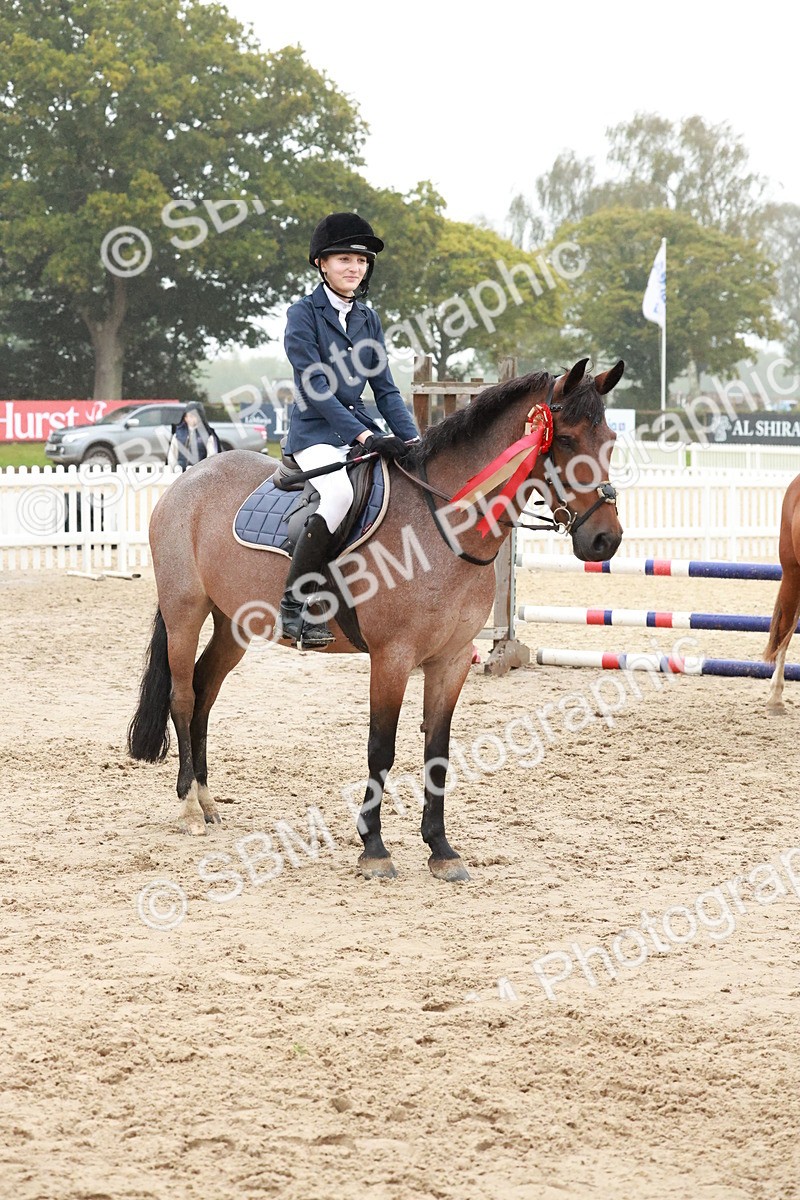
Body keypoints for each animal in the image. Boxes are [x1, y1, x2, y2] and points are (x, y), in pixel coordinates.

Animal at [127, 357, 625, 882]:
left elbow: (438, 750)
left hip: (234, 624)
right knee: (183, 697)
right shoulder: (392, 657)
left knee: (205, 693)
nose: (604, 540)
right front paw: (374, 848)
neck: (442, 522)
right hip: (185, 612)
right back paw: (187, 808)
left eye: (610, 439)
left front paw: (441, 849)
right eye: (564, 439)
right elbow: (381, 746)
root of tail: (189, 477)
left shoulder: (451, 660)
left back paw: (206, 801)